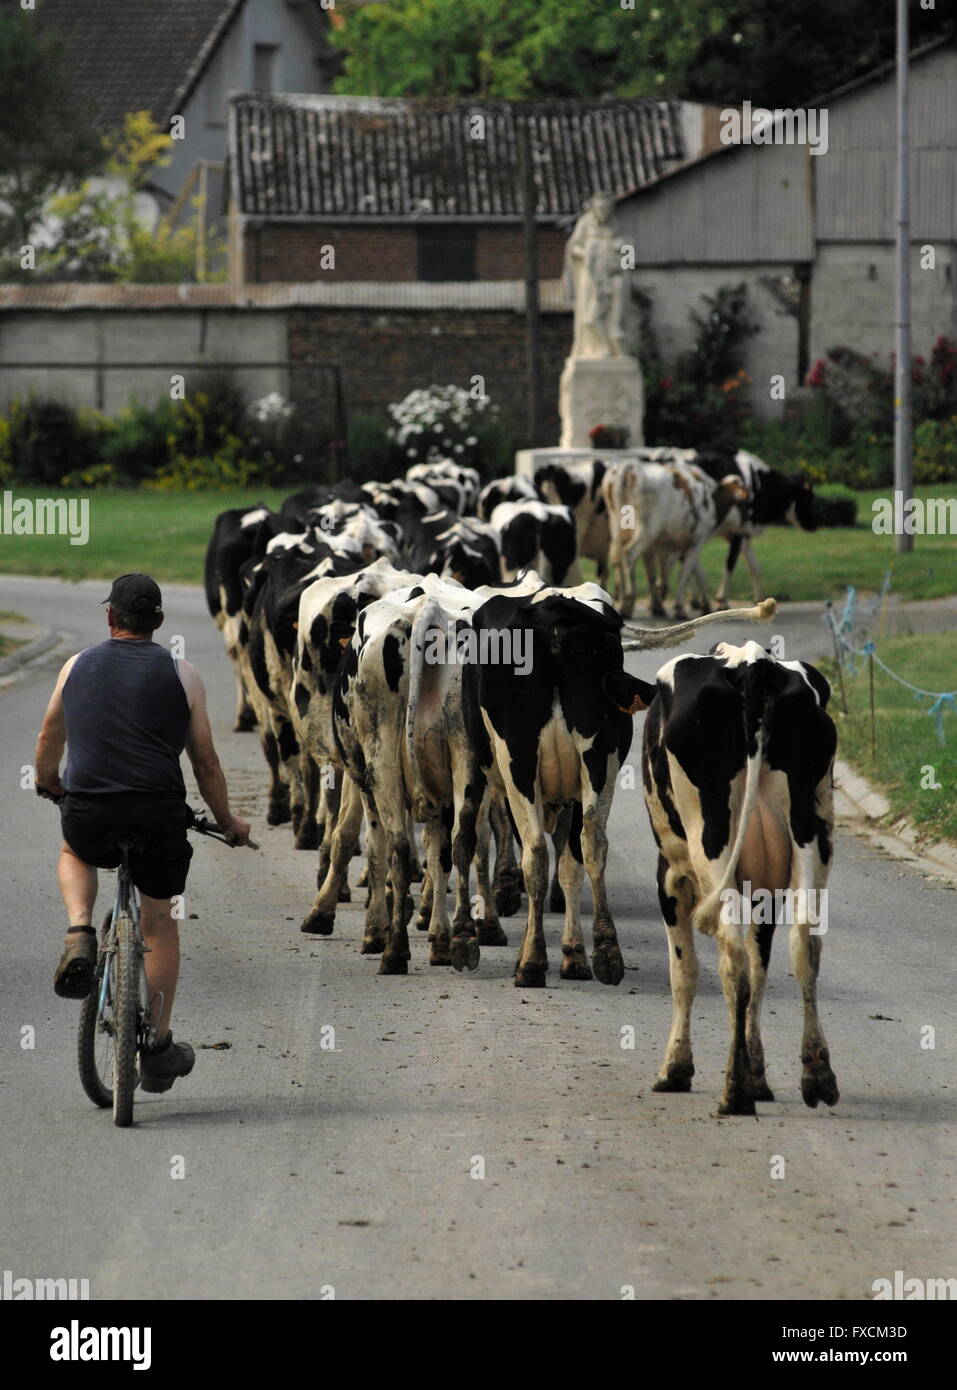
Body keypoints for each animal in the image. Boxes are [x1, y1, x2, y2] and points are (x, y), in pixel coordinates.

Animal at [639, 642, 834, 1117]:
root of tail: (751, 662)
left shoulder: (670, 874)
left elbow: (684, 971)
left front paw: (676, 1068)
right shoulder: (766, 888)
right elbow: (762, 967)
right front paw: (759, 1076)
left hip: (709, 840)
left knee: (731, 953)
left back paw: (734, 1093)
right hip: (809, 833)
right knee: (804, 943)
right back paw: (817, 1075)